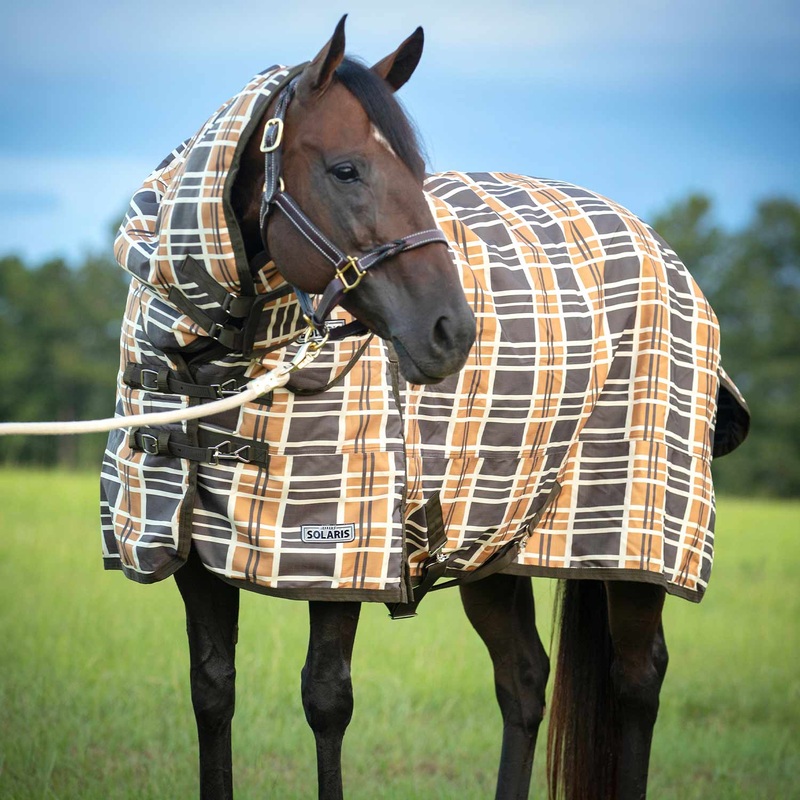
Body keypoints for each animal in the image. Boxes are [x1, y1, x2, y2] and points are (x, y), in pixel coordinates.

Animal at [100, 16, 748, 800]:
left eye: (414, 171)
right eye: (346, 169)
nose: (453, 331)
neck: (214, 366)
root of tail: (659, 246)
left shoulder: (343, 553)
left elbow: (326, 700)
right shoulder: (190, 556)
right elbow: (212, 692)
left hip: (629, 536)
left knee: (636, 679)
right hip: (498, 541)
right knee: (523, 679)